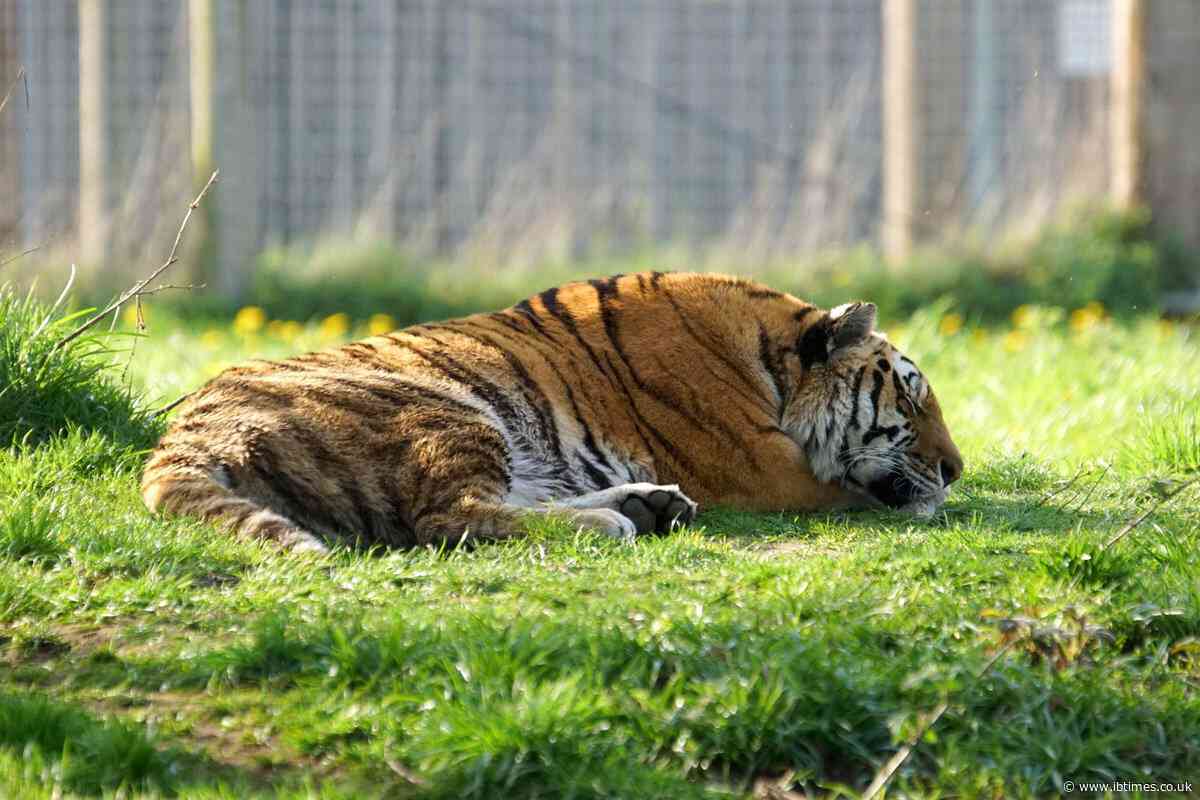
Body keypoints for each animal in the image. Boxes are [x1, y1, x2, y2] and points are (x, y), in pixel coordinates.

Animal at [141, 272, 963, 553]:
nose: (956, 468)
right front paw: (931, 504)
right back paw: (616, 522)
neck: (771, 359)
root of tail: (177, 436)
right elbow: (854, 489)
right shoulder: (764, 471)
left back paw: (647, 506)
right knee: (450, 517)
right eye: (910, 398)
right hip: (444, 409)